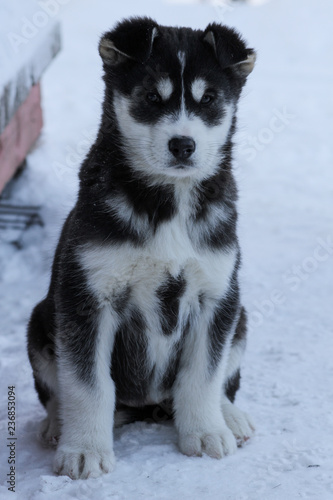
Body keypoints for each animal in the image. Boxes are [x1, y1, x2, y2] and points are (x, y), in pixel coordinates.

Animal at [27, 17, 255, 478]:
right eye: (152, 97)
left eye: (209, 100)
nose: (182, 145)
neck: (169, 205)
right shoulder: (87, 296)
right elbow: (87, 384)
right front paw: (84, 451)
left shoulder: (216, 293)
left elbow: (203, 374)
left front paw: (205, 432)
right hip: (41, 320)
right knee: (59, 391)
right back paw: (56, 424)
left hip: (239, 317)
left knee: (222, 377)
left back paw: (229, 416)